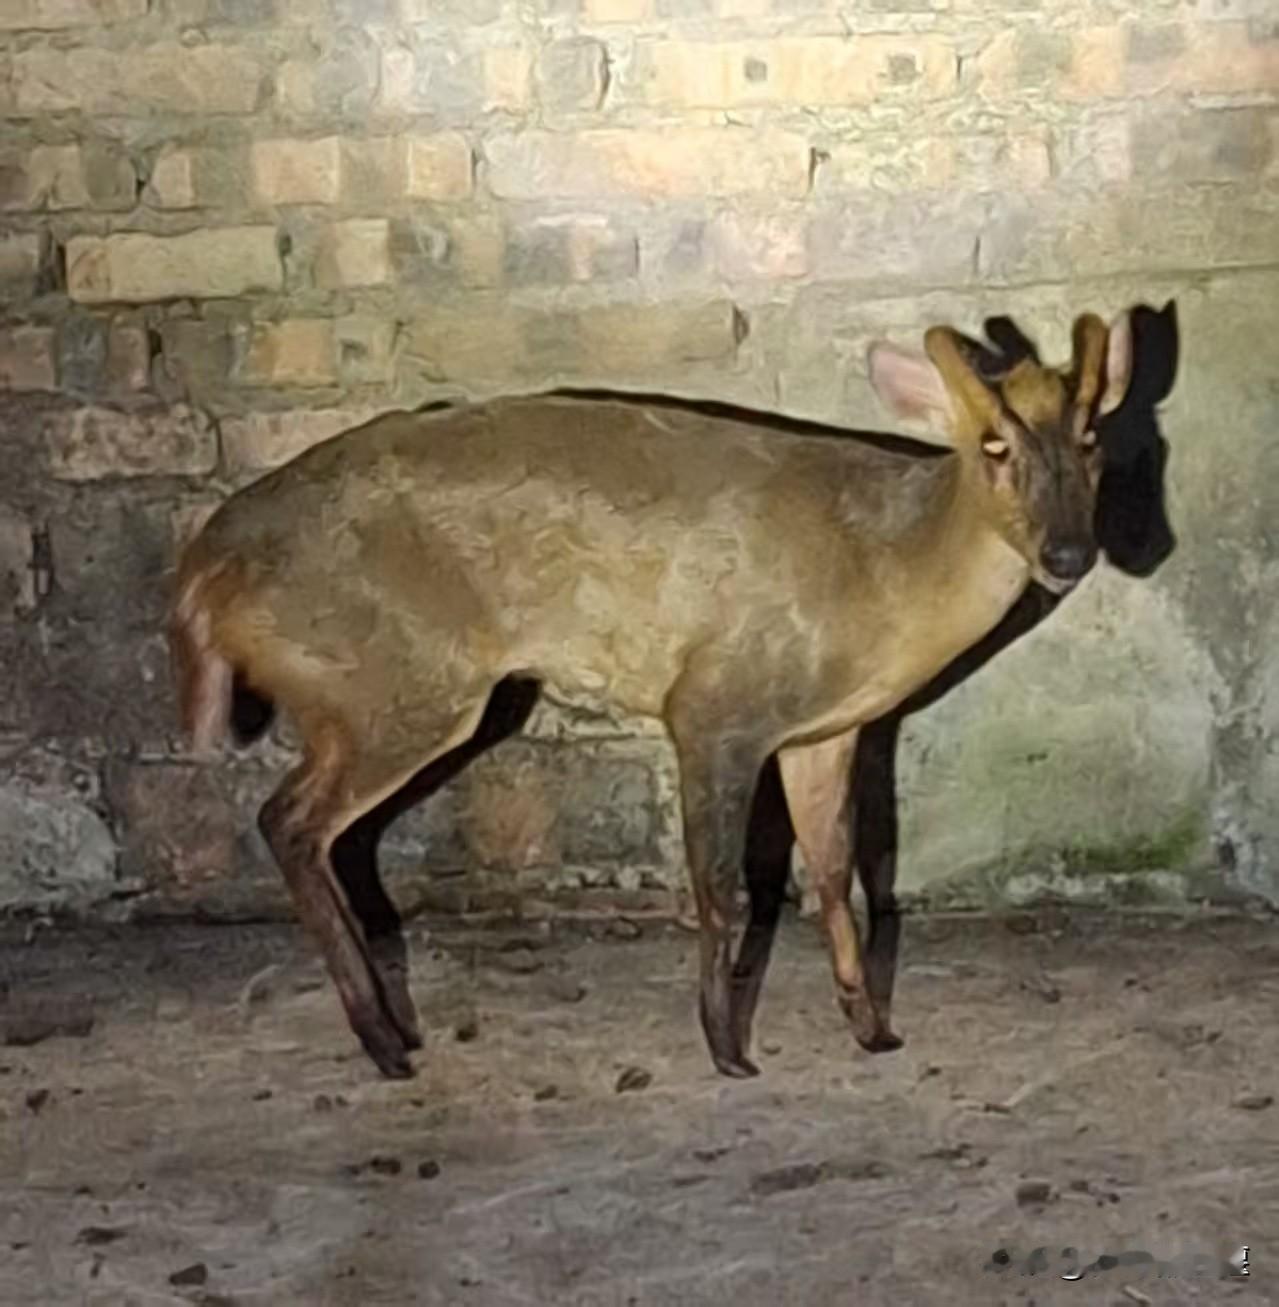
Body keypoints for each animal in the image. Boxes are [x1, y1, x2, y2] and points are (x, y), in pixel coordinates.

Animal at [170, 309, 1133, 1081]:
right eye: (993, 446)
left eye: (1091, 437)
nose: (1068, 554)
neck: (883, 571)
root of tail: (203, 574)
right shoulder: (714, 704)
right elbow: (720, 885)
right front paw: (727, 1047)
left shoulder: (823, 731)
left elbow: (834, 874)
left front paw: (871, 1028)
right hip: (396, 682)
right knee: (290, 821)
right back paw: (382, 1041)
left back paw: (395, 1031)